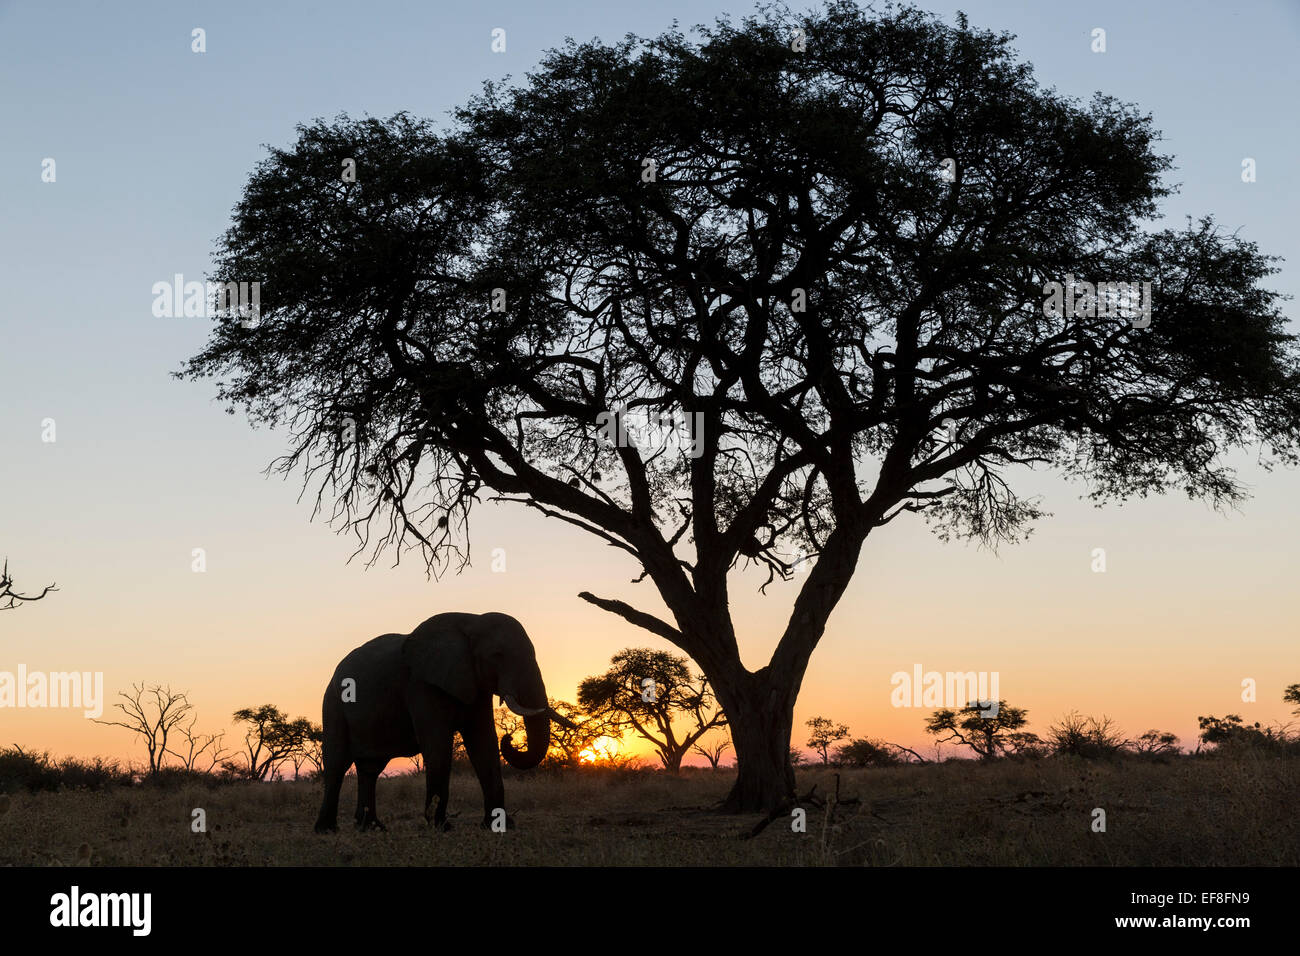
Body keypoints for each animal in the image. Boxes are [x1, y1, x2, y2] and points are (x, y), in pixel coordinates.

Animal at [312, 613, 572, 832]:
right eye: (497, 655)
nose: (510, 739)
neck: (471, 621)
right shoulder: (421, 684)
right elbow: (438, 745)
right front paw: (441, 827)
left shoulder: (474, 683)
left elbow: (484, 743)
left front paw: (499, 825)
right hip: (333, 703)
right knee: (337, 763)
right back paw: (327, 830)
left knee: (370, 768)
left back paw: (371, 828)